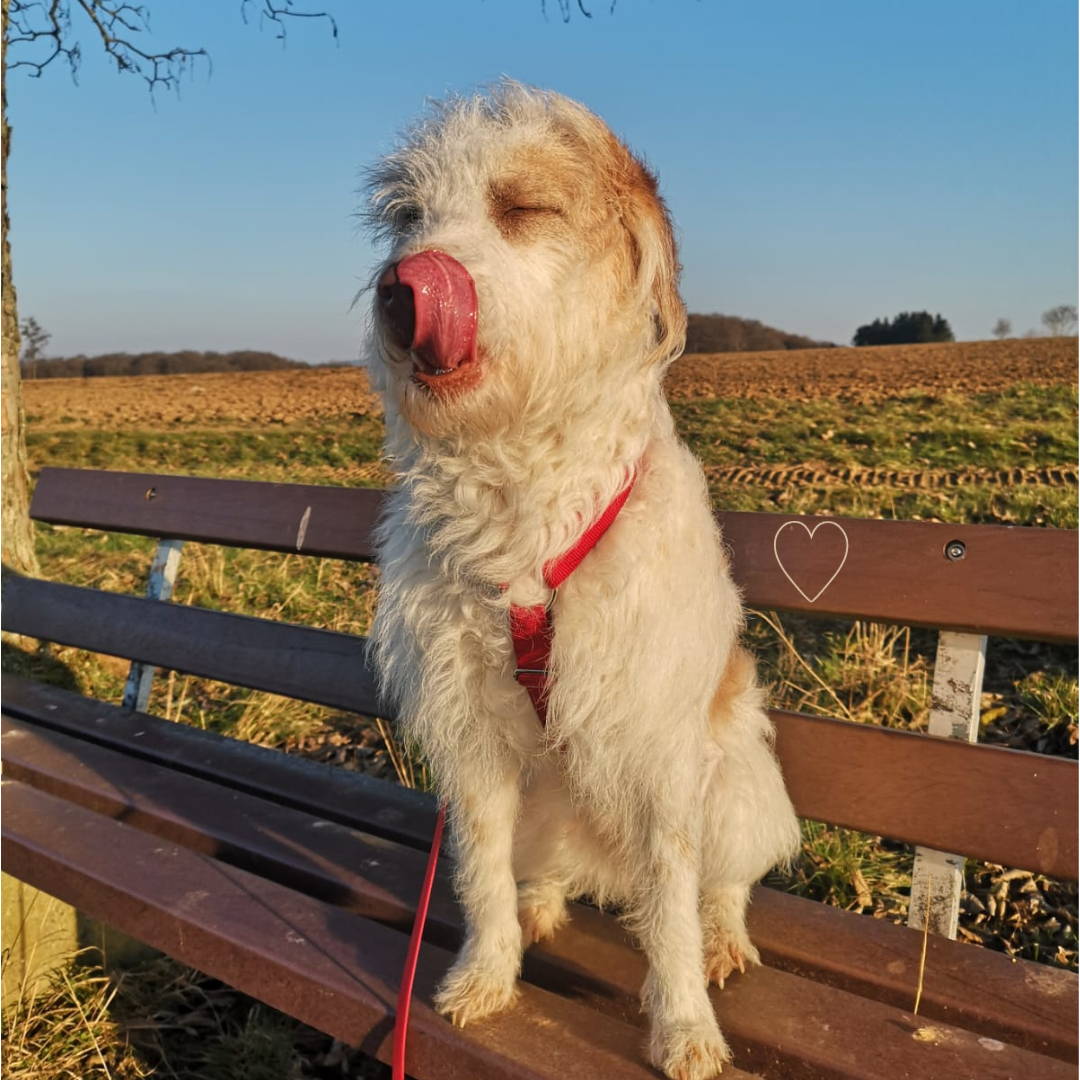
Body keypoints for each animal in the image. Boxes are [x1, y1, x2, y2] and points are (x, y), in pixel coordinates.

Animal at [367, 82, 799, 1080]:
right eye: (406, 217)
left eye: (523, 208)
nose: (401, 288)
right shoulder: (474, 745)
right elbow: (479, 875)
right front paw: (485, 974)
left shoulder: (657, 754)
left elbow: (671, 908)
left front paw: (683, 1029)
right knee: (542, 870)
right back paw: (541, 903)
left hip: (736, 789)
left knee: (720, 884)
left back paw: (722, 939)